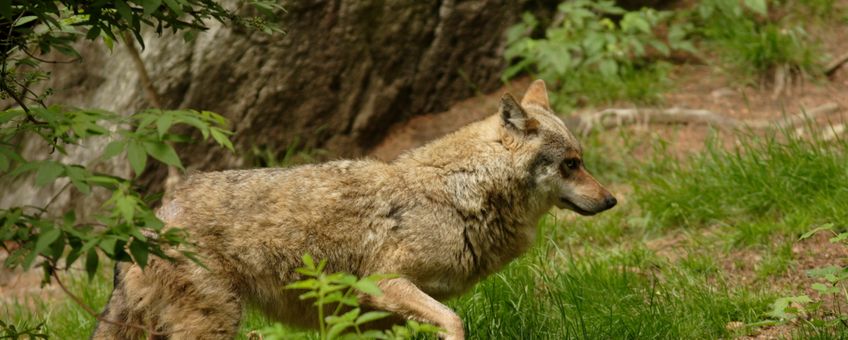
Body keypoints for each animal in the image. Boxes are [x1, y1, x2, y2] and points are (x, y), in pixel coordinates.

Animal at [93, 79, 616, 338]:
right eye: (571, 164)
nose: (611, 200)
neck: (459, 196)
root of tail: (151, 216)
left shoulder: (374, 319)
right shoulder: (385, 284)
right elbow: (455, 323)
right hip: (214, 324)